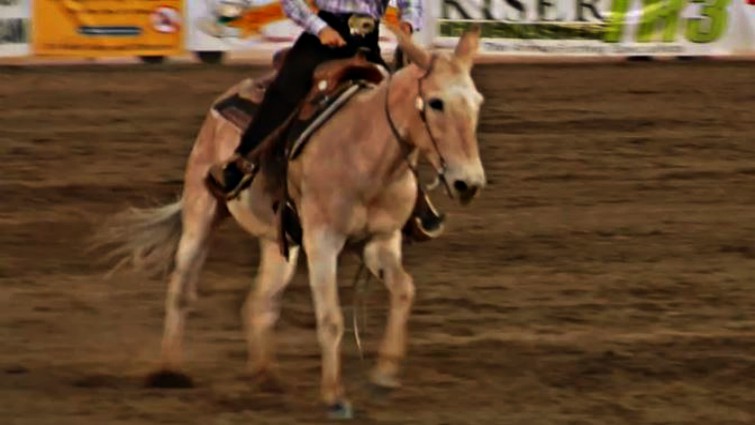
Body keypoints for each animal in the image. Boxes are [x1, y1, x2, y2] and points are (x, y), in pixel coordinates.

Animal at [94, 25, 486, 419]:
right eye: (435, 102)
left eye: (477, 102)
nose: (469, 183)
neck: (365, 152)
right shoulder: (322, 242)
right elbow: (330, 319)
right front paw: (335, 397)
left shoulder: (380, 240)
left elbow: (404, 290)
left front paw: (382, 377)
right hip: (201, 208)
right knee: (181, 287)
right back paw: (169, 371)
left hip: (279, 242)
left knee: (259, 303)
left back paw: (267, 377)